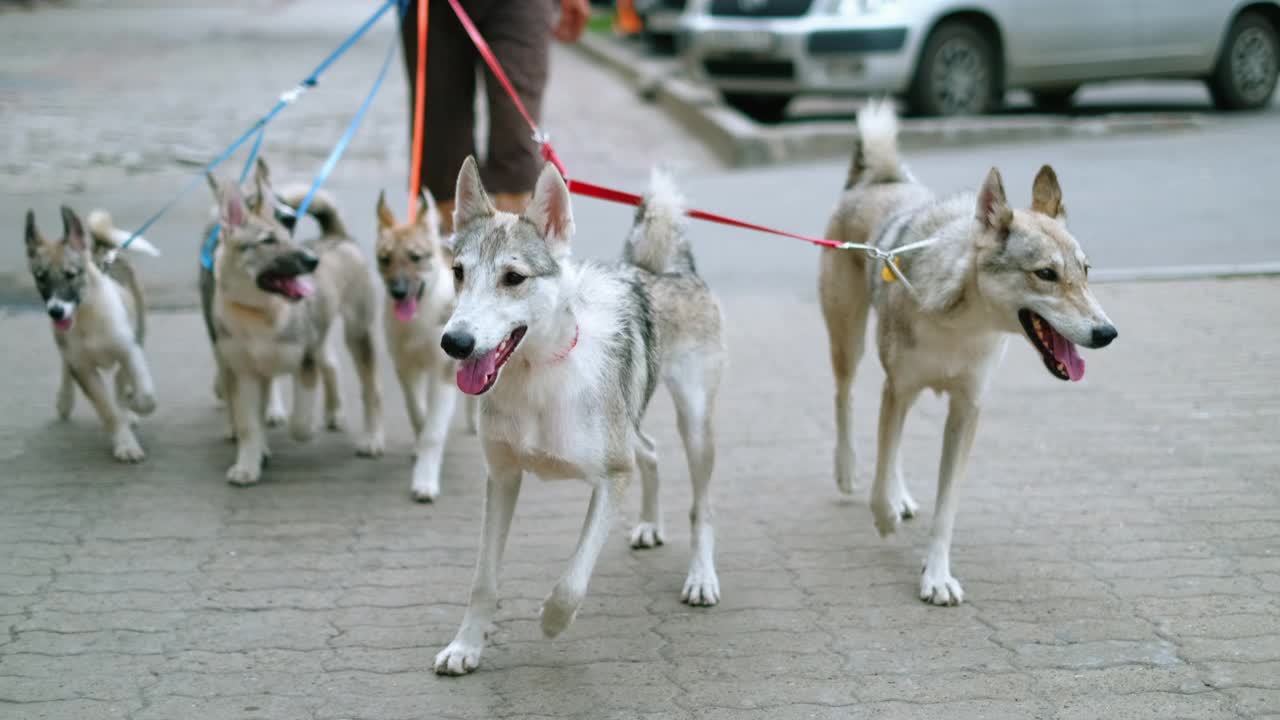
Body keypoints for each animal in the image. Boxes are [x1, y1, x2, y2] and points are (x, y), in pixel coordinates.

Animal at [24, 203, 161, 458]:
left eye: (70, 274)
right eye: (41, 277)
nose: (56, 311)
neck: (87, 316)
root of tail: (99, 252)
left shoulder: (130, 349)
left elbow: (144, 396)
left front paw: (132, 406)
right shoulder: (83, 368)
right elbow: (107, 410)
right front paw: (125, 442)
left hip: (139, 326)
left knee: (121, 376)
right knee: (67, 366)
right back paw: (65, 399)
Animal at [435, 156, 727, 671]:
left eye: (514, 278)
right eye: (458, 272)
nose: (455, 343)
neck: (536, 373)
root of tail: (663, 270)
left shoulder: (612, 477)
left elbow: (572, 582)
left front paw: (553, 622)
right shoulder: (503, 477)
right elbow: (483, 581)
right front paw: (465, 647)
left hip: (694, 426)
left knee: (702, 507)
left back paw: (700, 578)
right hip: (630, 425)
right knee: (652, 452)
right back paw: (649, 525)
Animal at [819, 102, 1121, 599]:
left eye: (1085, 271)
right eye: (1046, 274)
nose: (1107, 333)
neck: (962, 324)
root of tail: (878, 181)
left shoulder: (966, 409)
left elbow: (946, 507)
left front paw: (937, 577)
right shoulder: (898, 387)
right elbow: (880, 474)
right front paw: (883, 518)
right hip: (851, 343)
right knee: (845, 400)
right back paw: (848, 472)